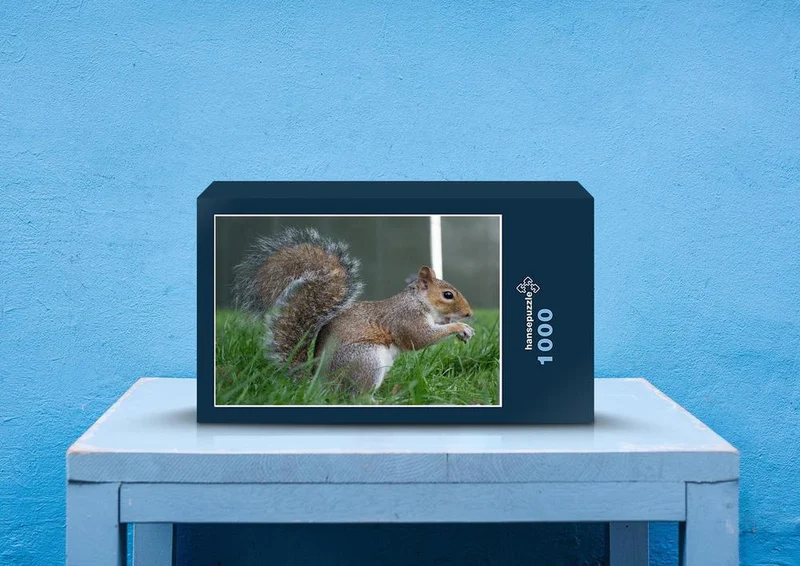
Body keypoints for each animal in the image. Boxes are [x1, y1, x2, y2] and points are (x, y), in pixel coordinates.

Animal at [232, 227, 475, 392]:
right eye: (448, 295)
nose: (469, 314)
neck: (418, 301)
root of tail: (320, 383)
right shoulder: (406, 318)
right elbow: (419, 338)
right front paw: (459, 326)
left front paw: (460, 328)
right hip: (366, 359)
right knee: (357, 395)